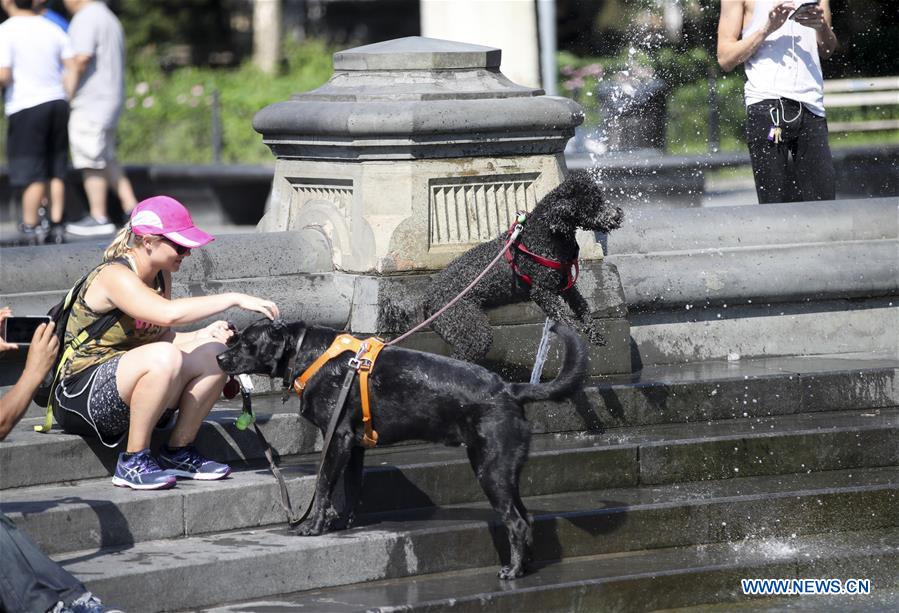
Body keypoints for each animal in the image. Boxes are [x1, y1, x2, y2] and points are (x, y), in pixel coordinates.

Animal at [215, 320, 588, 580]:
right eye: (236, 338)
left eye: (246, 343)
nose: (218, 356)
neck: (311, 354)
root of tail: (510, 389)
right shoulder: (354, 446)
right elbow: (351, 488)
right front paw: (343, 522)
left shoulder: (337, 438)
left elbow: (322, 486)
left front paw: (315, 526)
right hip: (506, 473)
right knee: (525, 517)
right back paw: (525, 565)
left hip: (490, 469)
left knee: (516, 522)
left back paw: (512, 570)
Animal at [424, 167, 624, 360]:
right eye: (593, 205)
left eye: (600, 199)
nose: (618, 215)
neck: (544, 236)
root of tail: (426, 298)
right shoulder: (542, 292)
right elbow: (564, 317)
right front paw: (575, 335)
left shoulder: (565, 286)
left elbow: (582, 306)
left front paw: (594, 333)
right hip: (469, 328)